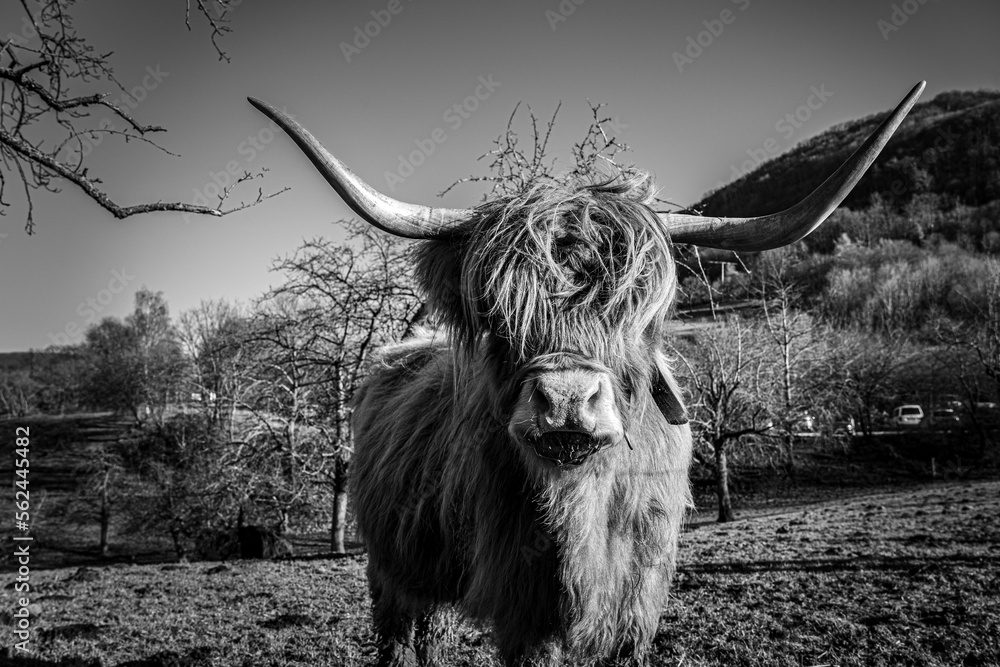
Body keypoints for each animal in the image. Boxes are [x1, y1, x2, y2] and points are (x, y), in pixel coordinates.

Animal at [248, 81, 920, 664]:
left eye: (637, 314)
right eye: (498, 316)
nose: (566, 399)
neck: (584, 517)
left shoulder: (638, 606)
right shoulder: (528, 610)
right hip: (389, 570)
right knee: (402, 638)